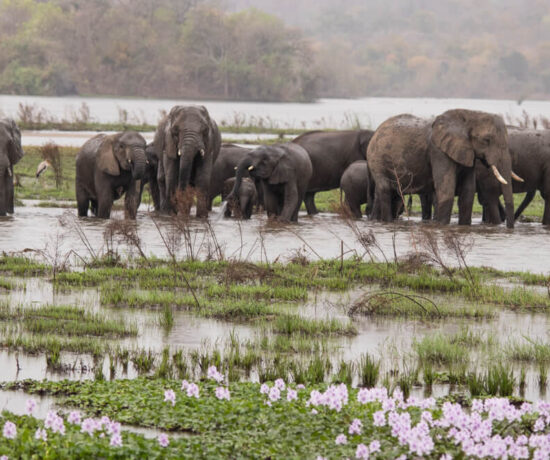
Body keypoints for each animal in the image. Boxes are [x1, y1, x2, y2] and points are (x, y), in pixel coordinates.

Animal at [368, 109, 520, 228]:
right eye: (487, 140)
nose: (509, 229)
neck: (469, 114)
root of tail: (376, 132)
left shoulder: (467, 152)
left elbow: (468, 193)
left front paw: (464, 227)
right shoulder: (438, 152)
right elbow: (446, 190)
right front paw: (441, 227)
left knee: (389, 194)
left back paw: (377, 221)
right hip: (376, 160)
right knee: (385, 190)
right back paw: (387, 222)